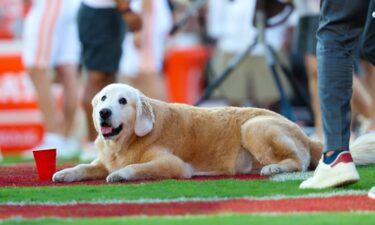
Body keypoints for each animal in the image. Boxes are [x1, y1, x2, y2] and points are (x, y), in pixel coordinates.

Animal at [53, 83, 375, 182]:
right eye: (103, 99)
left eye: (123, 101)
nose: (104, 113)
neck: (127, 140)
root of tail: (308, 135)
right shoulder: (102, 160)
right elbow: (85, 167)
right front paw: (65, 172)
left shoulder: (173, 164)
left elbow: (137, 167)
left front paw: (121, 174)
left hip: (253, 126)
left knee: (300, 160)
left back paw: (273, 168)